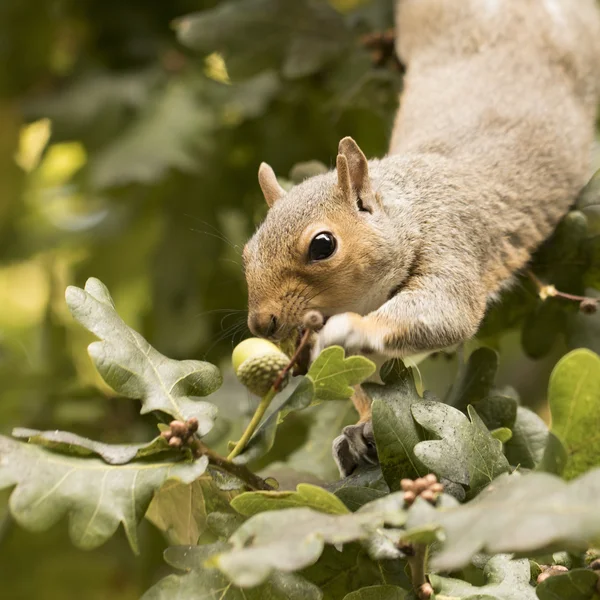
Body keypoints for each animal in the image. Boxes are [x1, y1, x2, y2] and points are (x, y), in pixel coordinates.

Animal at [240, 1, 600, 478]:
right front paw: (361, 427)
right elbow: (361, 380)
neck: (410, 209)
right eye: (247, 253)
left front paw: (351, 329)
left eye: (322, 246)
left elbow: (444, 309)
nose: (262, 324)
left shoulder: (451, 239)